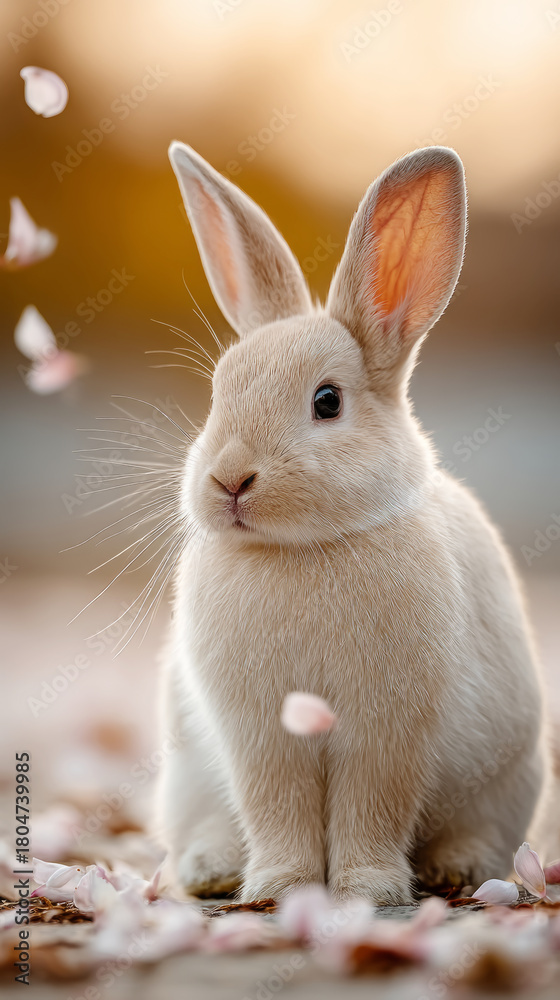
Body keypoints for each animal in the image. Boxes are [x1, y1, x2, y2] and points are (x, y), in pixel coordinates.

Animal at [157, 141, 545, 905]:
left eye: (327, 401)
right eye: (219, 392)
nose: (229, 480)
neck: (304, 550)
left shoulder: (386, 732)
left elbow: (373, 806)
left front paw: (366, 891)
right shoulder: (261, 737)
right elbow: (275, 806)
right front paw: (280, 887)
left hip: (508, 781)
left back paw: (454, 869)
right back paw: (215, 871)